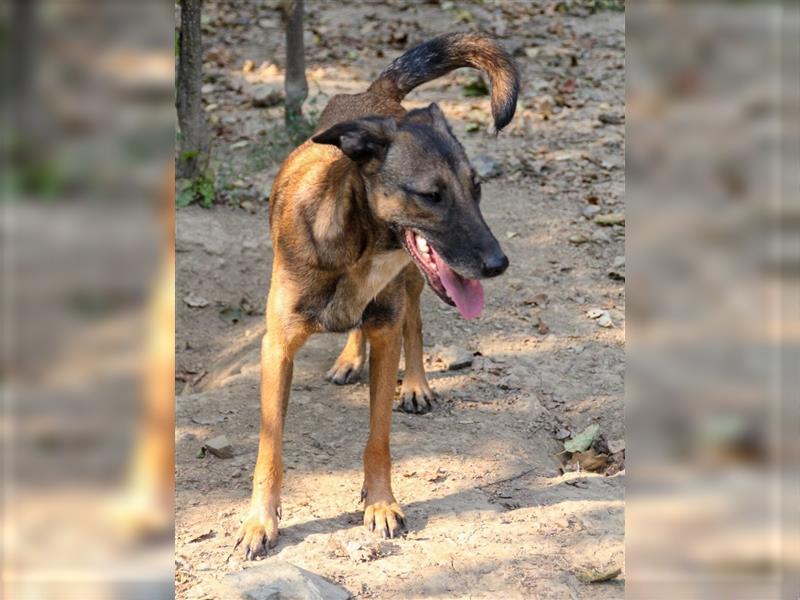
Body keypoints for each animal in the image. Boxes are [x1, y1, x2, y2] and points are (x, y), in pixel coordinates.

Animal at [234, 31, 520, 556]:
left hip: (412, 282)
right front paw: (259, 522)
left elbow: (379, 437)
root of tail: (376, 95)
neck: (359, 250)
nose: (497, 264)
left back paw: (417, 385)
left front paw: (381, 502)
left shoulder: (387, 332)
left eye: (477, 188)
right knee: (362, 328)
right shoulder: (277, 348)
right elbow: (270, 448)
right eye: (431, 195)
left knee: (414, 323)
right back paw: (350, 358)